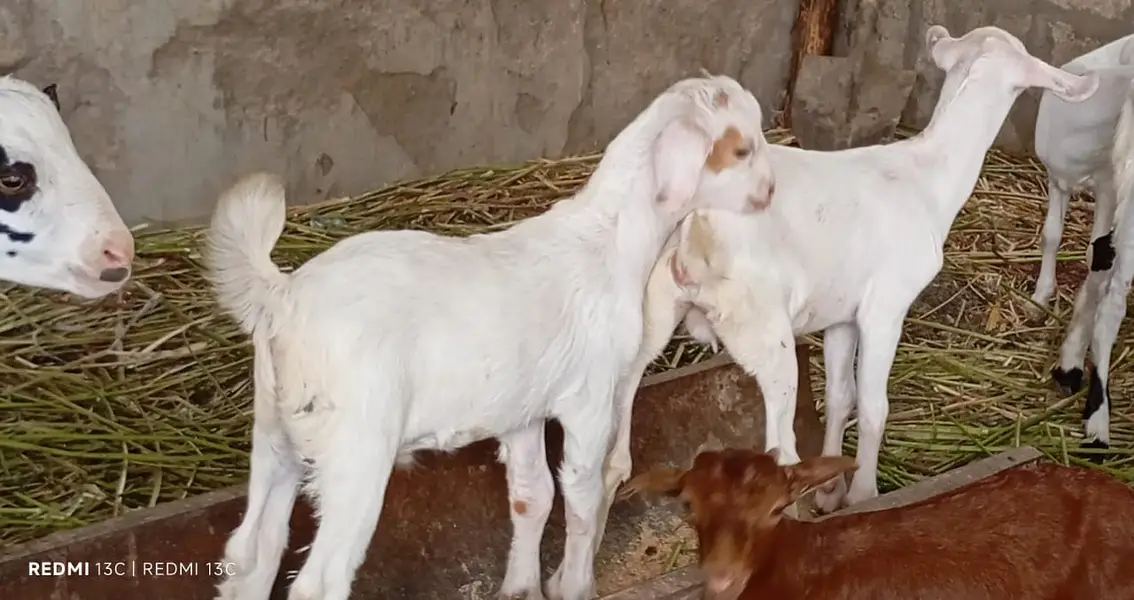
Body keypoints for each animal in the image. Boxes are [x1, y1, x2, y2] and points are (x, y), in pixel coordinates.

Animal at [206, 74, 776, 600]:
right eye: (741, 149)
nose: (769, 192)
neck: (608, 242)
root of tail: (281, 296)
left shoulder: (521, 410)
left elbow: (532, 496)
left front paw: (521, 587)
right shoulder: (589, 398)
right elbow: (582, 496)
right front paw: (575, 585)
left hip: (275, 433)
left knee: (250, 553)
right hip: (355, 449)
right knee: (318, 581)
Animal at [591, 24, 1101, 534]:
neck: (927, 174)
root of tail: (696, 228)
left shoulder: (840, 313)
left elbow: (839, 397)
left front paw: (831, 489)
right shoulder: (884, 307)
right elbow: (874, 405)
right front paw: (863, 495)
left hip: (653, 307)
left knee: (615, 452)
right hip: (763, 329)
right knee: (780, 449)